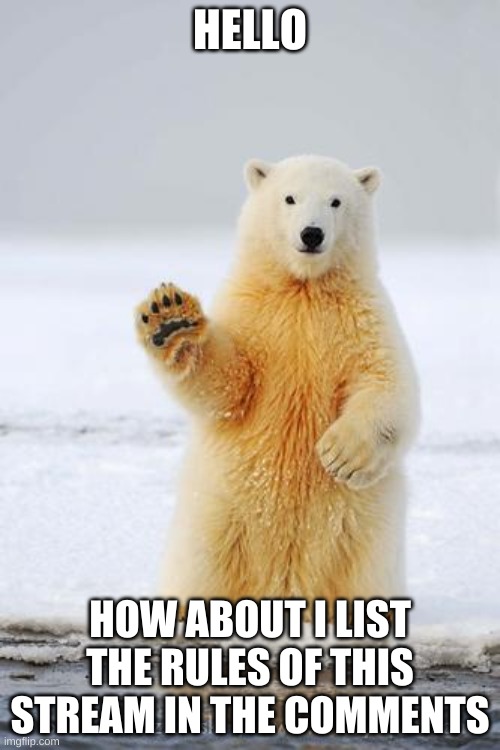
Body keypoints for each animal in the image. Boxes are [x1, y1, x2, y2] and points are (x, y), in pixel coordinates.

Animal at [135, 155, 419, 610]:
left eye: (336, 201)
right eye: (290, 198)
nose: (312, 233)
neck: (303, 288)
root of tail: (284, 589)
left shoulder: (364, 319)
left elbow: (386, 383)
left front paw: (341, 455)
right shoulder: (253, 314)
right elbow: (230, 384)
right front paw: (171, 320)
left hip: (365, 530)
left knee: (364, 575)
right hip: (215, 517)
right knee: (200, 567)